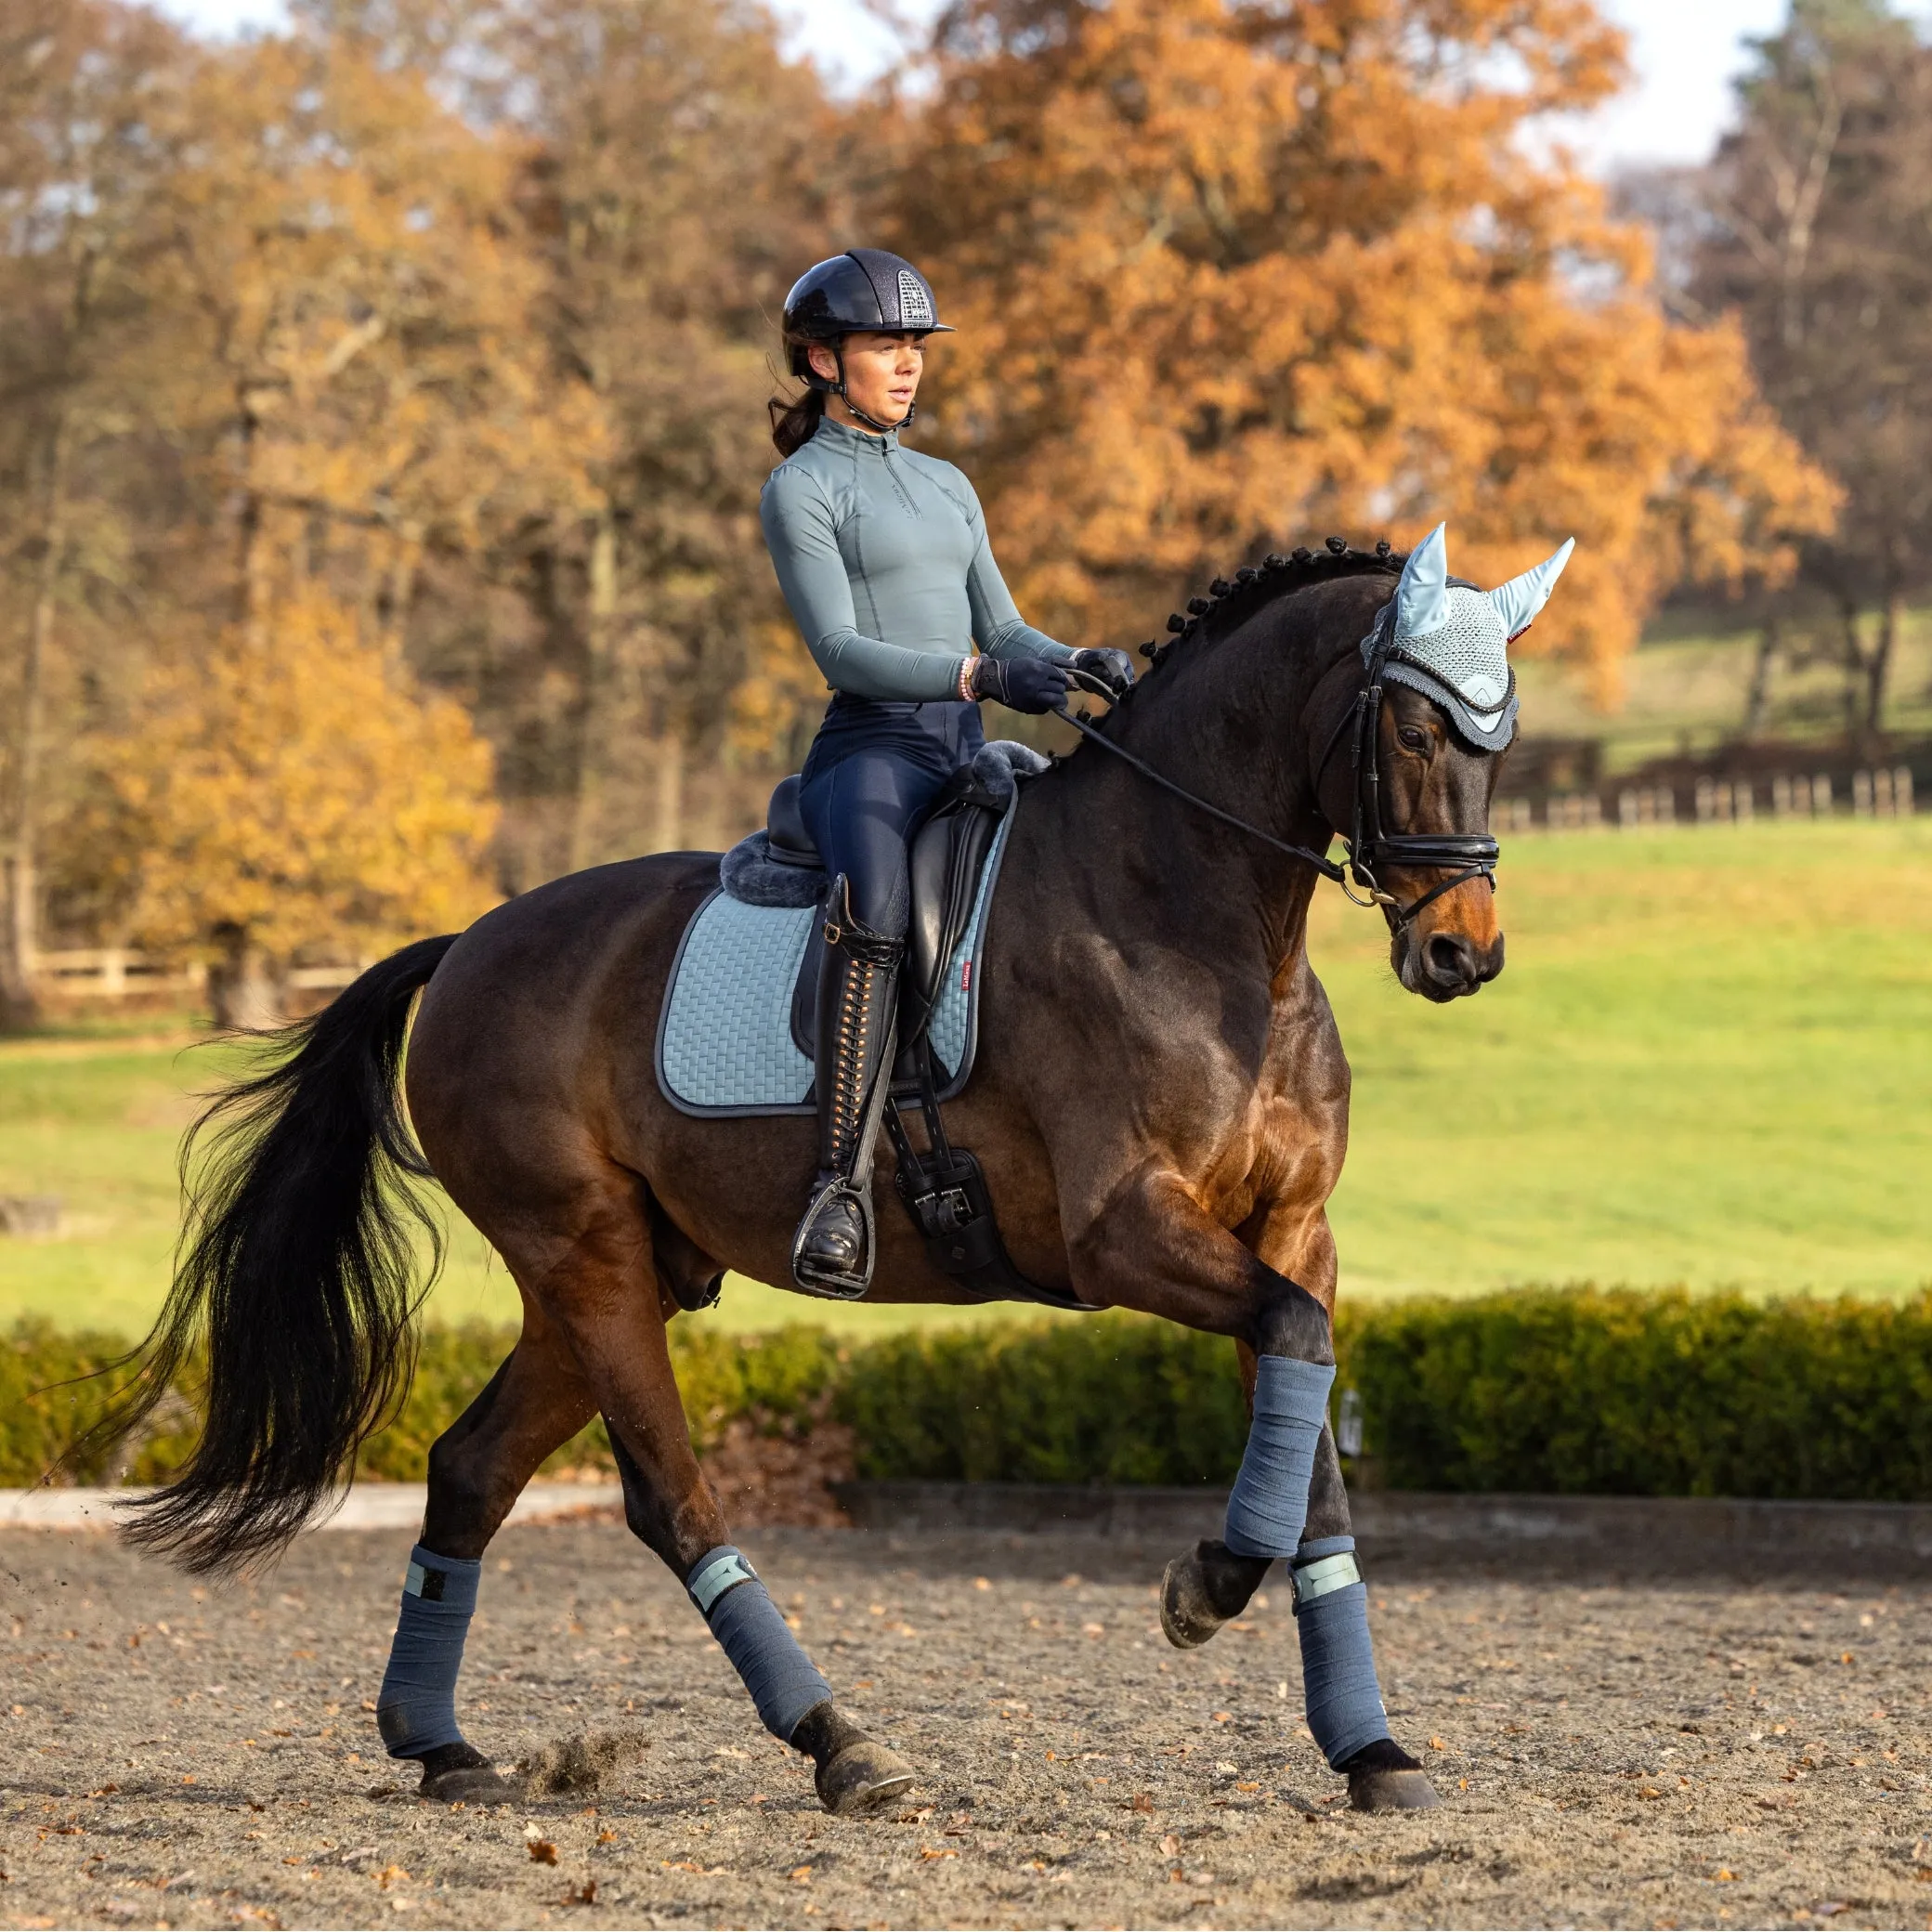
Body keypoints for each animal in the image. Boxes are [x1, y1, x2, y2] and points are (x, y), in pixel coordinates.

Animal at [101, 529, 1553, 1808]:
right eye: (1413, 733)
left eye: (1503, 738)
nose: (1461, 954)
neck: (1198, 919)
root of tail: (466, 945)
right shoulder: (1126, 1232)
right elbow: (1292, 1382)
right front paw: (1202, 1589)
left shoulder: (1287, 1229)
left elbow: (1309, 1441)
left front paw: (1370, 1750)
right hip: (588, 1255)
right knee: (672, 1499)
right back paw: (842, 1746)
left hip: (609, 1273)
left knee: (469, 1469)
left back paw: (440, 1746)